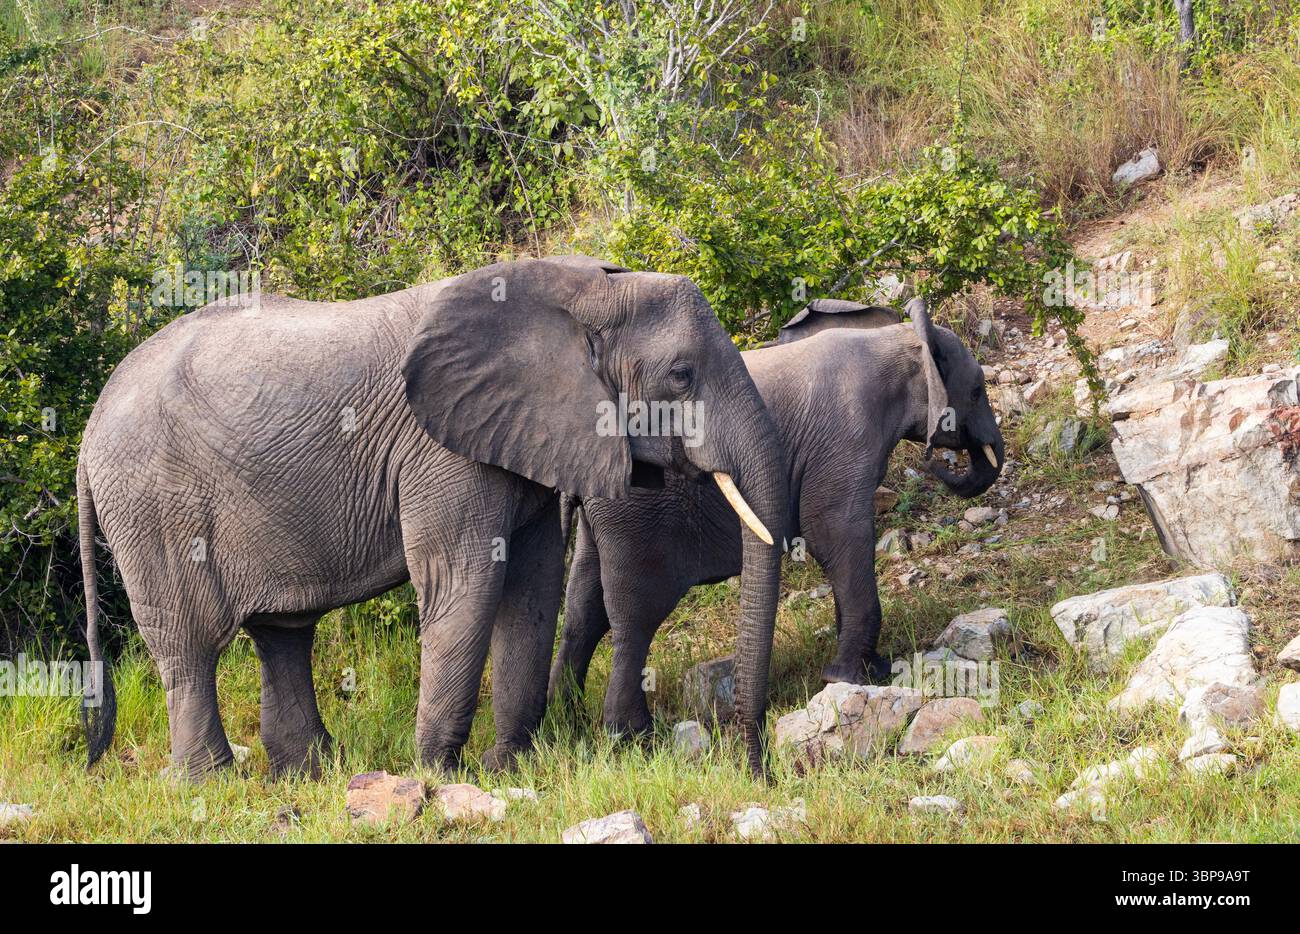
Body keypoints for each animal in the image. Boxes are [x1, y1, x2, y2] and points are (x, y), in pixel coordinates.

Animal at [77, 256, 787, 780]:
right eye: (681, 374)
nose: (754, 770)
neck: (583, 292)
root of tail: (87, 432)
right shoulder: (443, 452)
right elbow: (465, 585)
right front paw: (440, 775)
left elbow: (532, 590)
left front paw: (508, 767)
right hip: (152, 505)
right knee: (188, 644)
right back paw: (212, 782)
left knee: (283, 631)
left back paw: (312, 772)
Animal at [549, 297, 1003, 734]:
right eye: (977, 391)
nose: (937, 461)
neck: (900, 338)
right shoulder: (844, 442)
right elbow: (835, 534)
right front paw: (848, 678)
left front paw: (867, 670)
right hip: (636, 512)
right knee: (636, 616)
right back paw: (634, 736)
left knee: (583, 612)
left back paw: (565, 723)